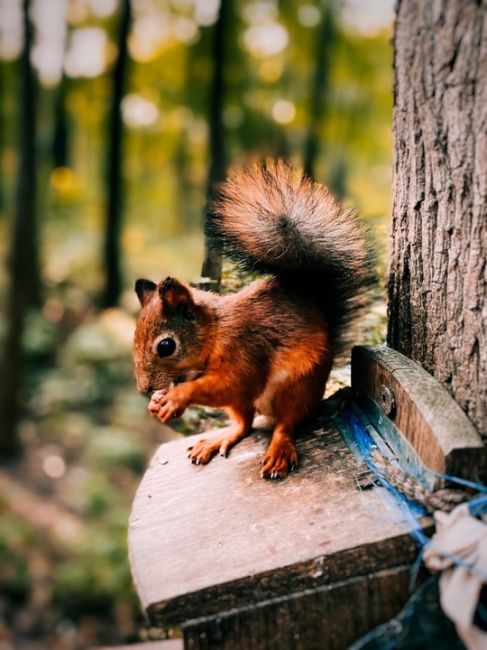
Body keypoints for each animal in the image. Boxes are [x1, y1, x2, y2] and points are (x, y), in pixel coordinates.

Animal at [132, 160, 376, 478]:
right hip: (248, 405)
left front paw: (175, 397)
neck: (216, 331)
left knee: (286, 423)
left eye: (166, 346)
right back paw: (218, 439)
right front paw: (157, 402)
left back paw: (279, 449)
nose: (144, 389)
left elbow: (237, 383)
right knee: (244, 423)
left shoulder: (244, 350)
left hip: (296, 387)